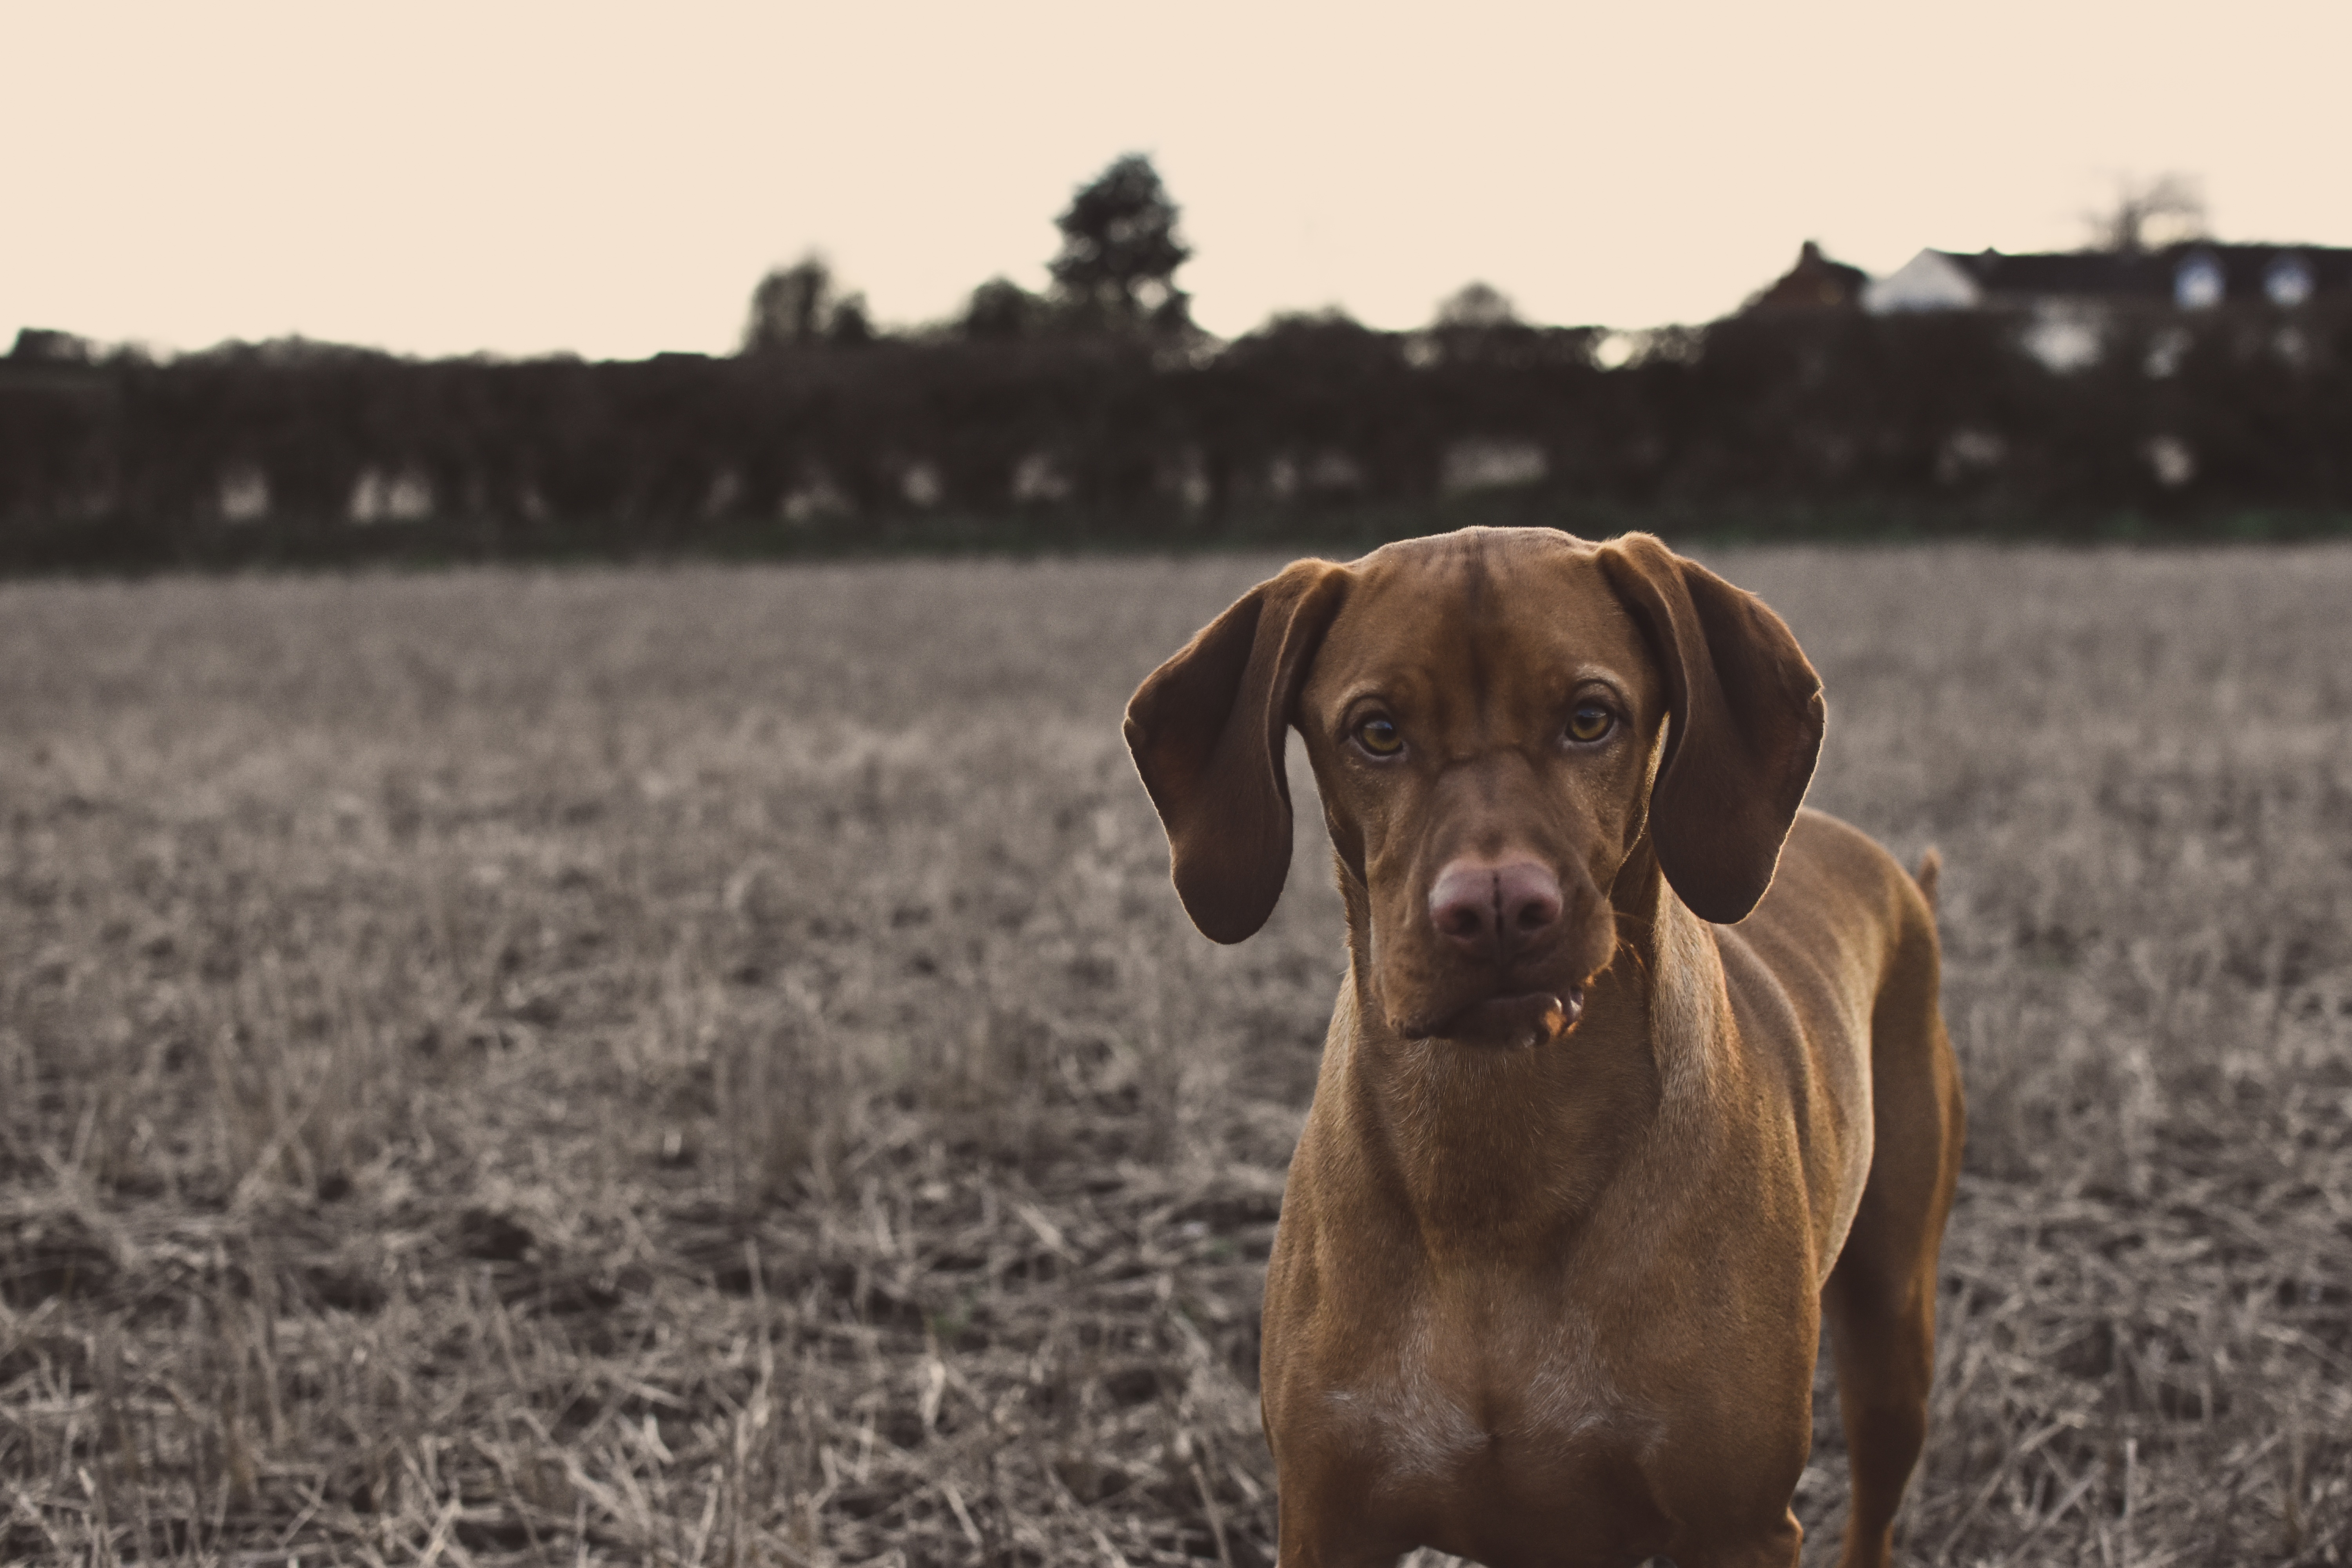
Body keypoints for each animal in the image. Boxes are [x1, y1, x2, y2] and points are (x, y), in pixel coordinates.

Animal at [1120, 531, 1966, 1568]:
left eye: (1591, 718)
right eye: (1377, 731)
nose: (1496, 909)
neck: (1496, 1161)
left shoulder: (1740, 1524)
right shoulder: (1327, 1517)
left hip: (1893, 1335)